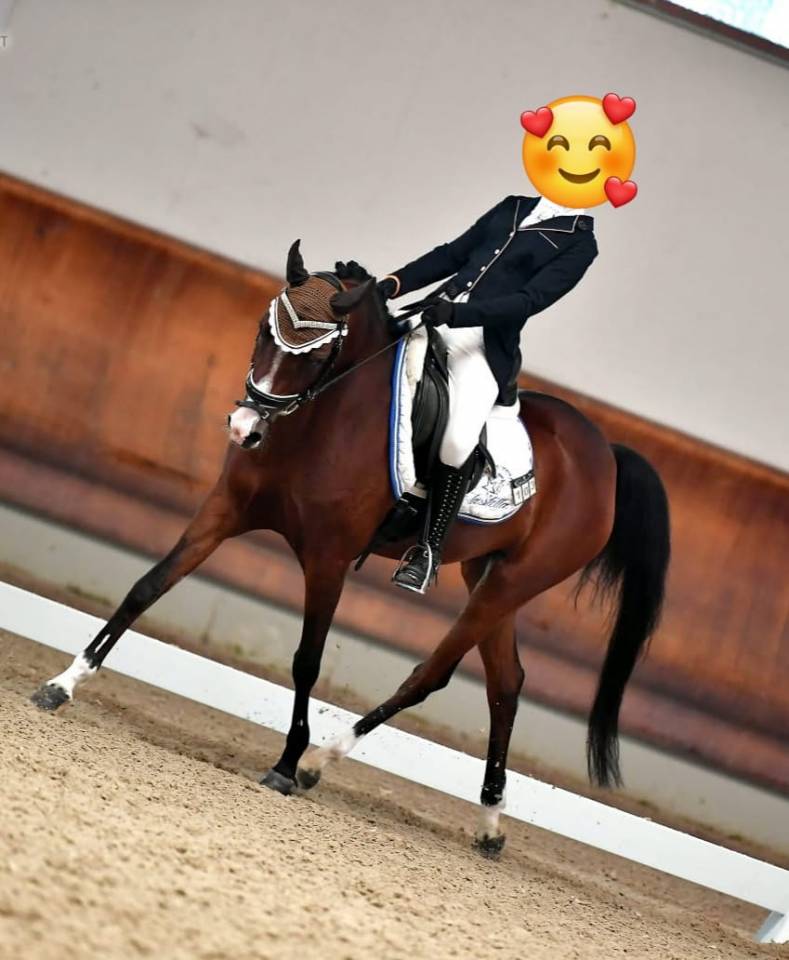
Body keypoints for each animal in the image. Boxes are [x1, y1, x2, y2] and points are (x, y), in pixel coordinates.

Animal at [31, 242, 670, 857]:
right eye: (263, 331)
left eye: (317, 356)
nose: (244, 429)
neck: (319, 420)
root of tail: (604, 453)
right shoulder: (224, 512)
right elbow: (147, 587)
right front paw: (64, 684)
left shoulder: (329, 559)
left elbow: (307, 660)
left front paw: (287, 763)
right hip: (488, 574)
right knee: (506, 684)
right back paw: (489, 823)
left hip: (516, 581)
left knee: (433, 674)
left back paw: (322, 761)